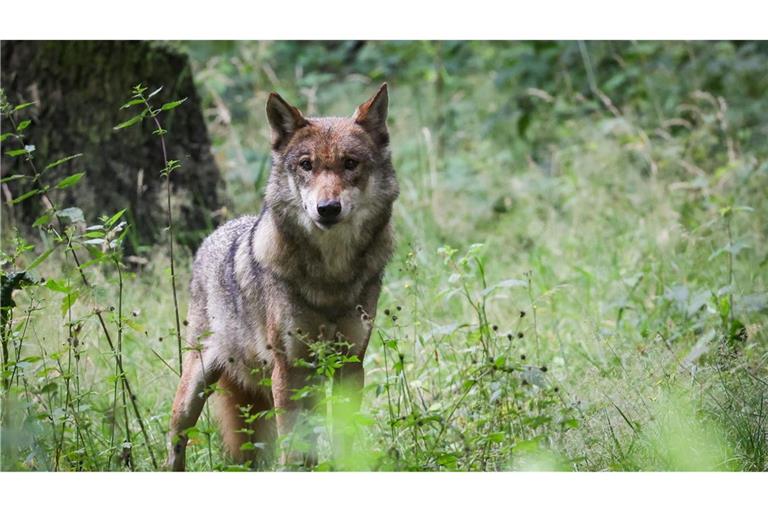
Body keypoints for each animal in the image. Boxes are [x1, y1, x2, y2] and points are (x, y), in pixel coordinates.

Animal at [166, 84, 400, 472]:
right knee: (176, 440)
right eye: (306, 165)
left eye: (350, 163)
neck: (330, 277)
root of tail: (215, 234)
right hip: (195, 389)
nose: (327, 209)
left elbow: (343, 438)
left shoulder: (350, 363)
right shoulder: (289, 369)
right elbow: (294, 447)